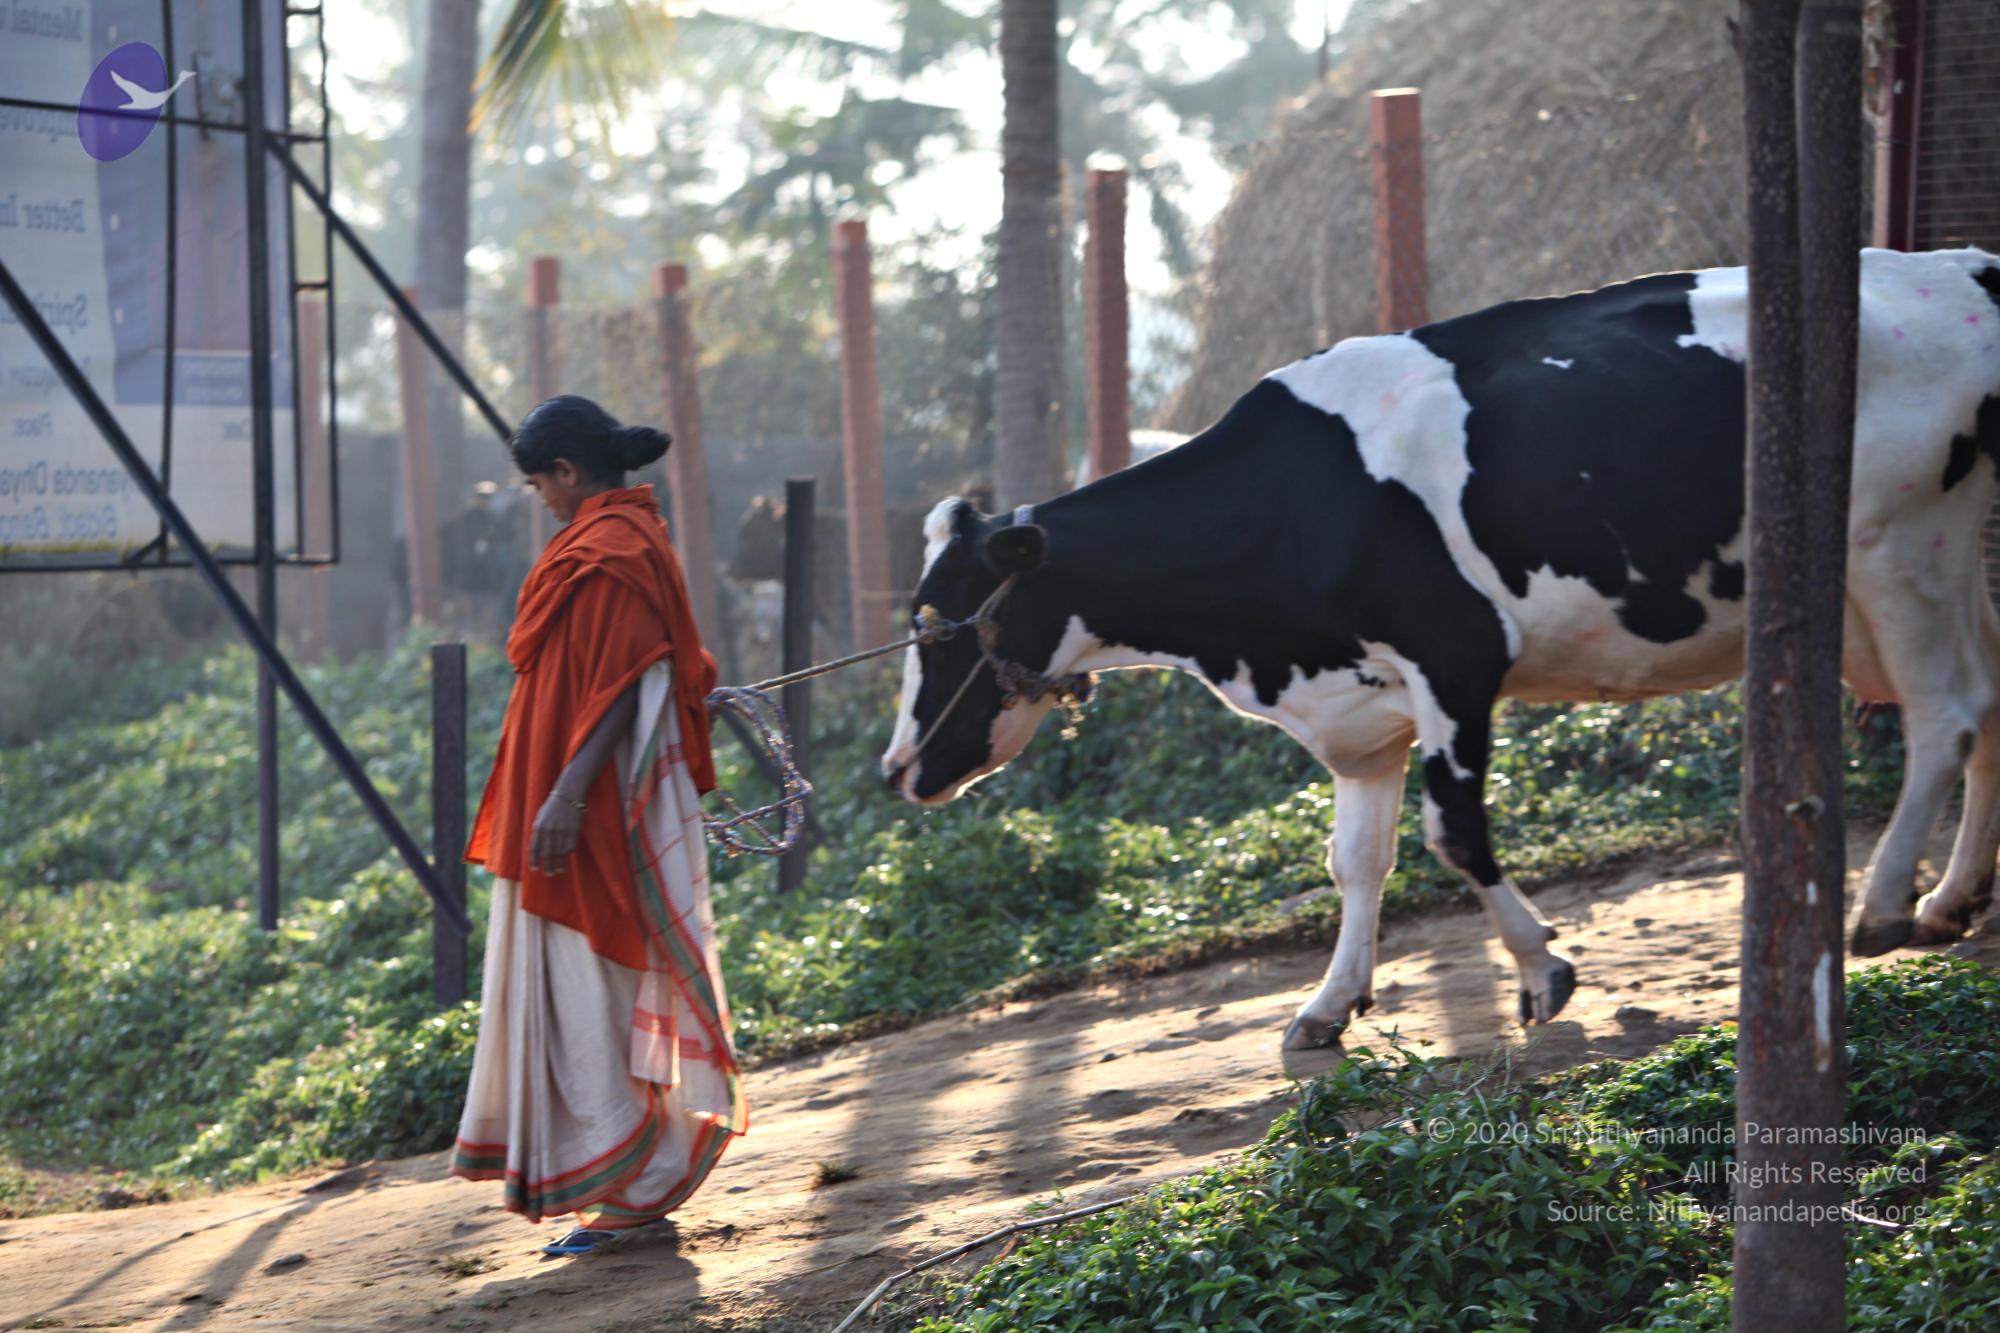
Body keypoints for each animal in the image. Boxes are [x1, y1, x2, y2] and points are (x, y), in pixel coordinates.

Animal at [881, 247, 2000, 1051]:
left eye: (935, 623)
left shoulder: (1455, 656)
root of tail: (1955, 266)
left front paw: (1543, 971)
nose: (897, 768)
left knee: (1943, 715)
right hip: (1934, 568)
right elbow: (1354, 859)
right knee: (1988, 704)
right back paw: (1954, 899)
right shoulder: (1360, 712)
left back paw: (1883, 904)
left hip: (1895, 546)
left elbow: (1452, 831)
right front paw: (1326, 1007)